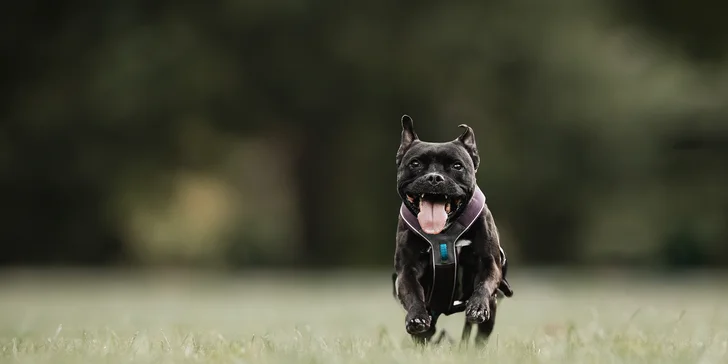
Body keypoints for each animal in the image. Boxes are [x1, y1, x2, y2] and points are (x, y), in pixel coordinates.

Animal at [390, 115, 516, 346]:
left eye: (457, 166)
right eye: (415, 163)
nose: (434, 177)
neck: (443, 233)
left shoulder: (489, 263)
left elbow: (483, 285)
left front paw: (477, 307)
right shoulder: (407, 269)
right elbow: (411, 292)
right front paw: (416, 317)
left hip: (491, 313)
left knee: (479, 336)